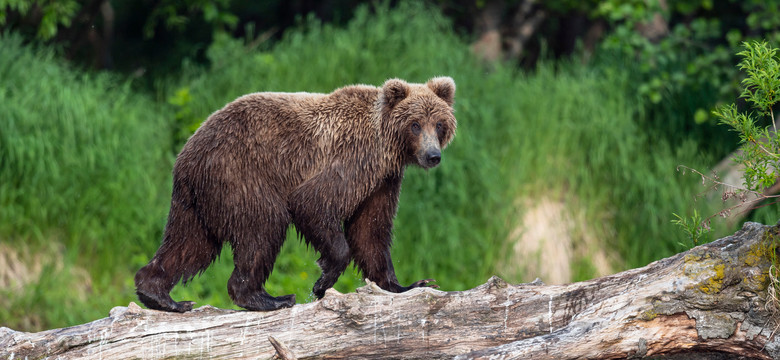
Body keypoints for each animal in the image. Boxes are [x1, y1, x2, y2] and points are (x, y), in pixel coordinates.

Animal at [131, 76, 454, 312]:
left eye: (439, 123)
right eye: (415, 124)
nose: (433, 155)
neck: (386, 147)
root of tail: (186, 153)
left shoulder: (382, 182)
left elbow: (370, 232)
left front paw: (410, 284)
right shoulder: (351, 161)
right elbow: (313, 202)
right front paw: (322, 282)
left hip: (198, 201)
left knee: (190, 244)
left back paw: (160, 295)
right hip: (240, 174)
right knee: (263, 226)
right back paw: (269, 298)